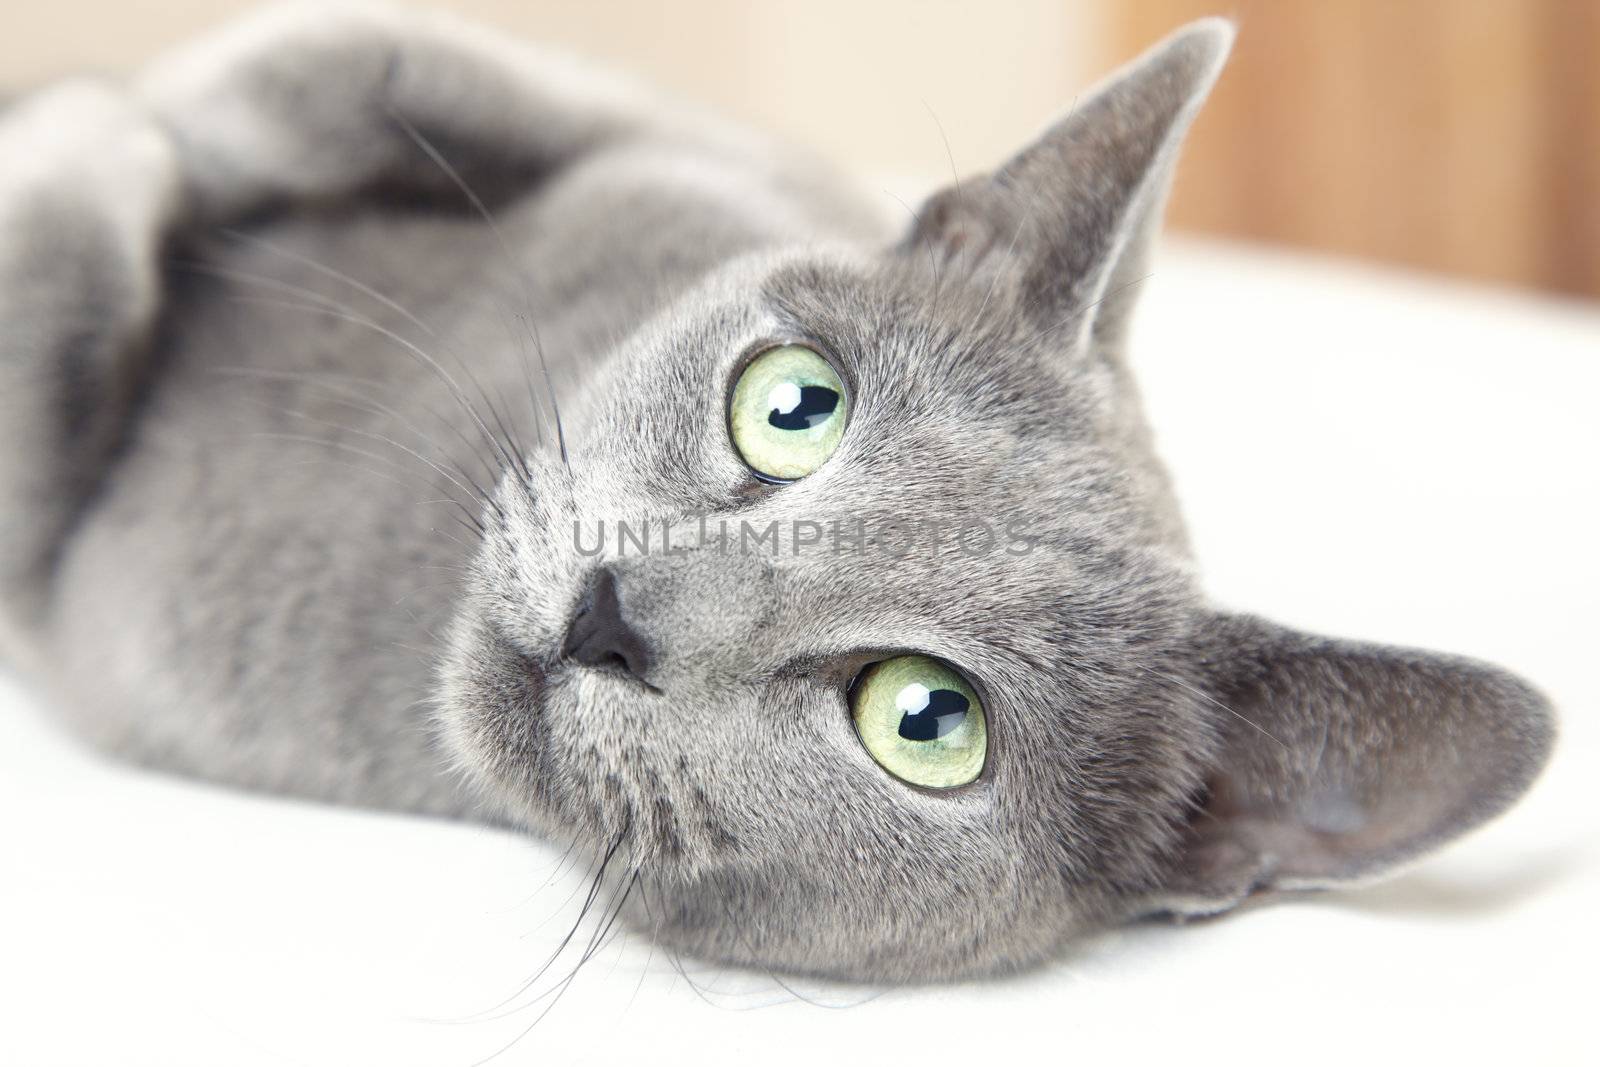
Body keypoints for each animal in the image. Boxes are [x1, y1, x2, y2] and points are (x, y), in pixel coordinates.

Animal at [0, 2, 1548, 985]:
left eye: (927, 719)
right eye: (795, 403)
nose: (614, 613)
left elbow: (49, 333)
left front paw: (95, 143)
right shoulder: (703, 147)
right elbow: (350, 47)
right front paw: (134, 116)